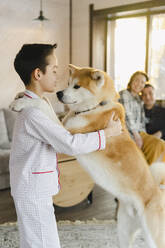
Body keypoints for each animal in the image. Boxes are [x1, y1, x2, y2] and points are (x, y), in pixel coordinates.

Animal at [56, 65, 165, 248]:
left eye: (76, 86)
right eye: (68, 83)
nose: (58, 93)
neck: (97, 106)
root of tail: (157, 191)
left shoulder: (72, 135)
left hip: (152, 235)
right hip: (124, 230)